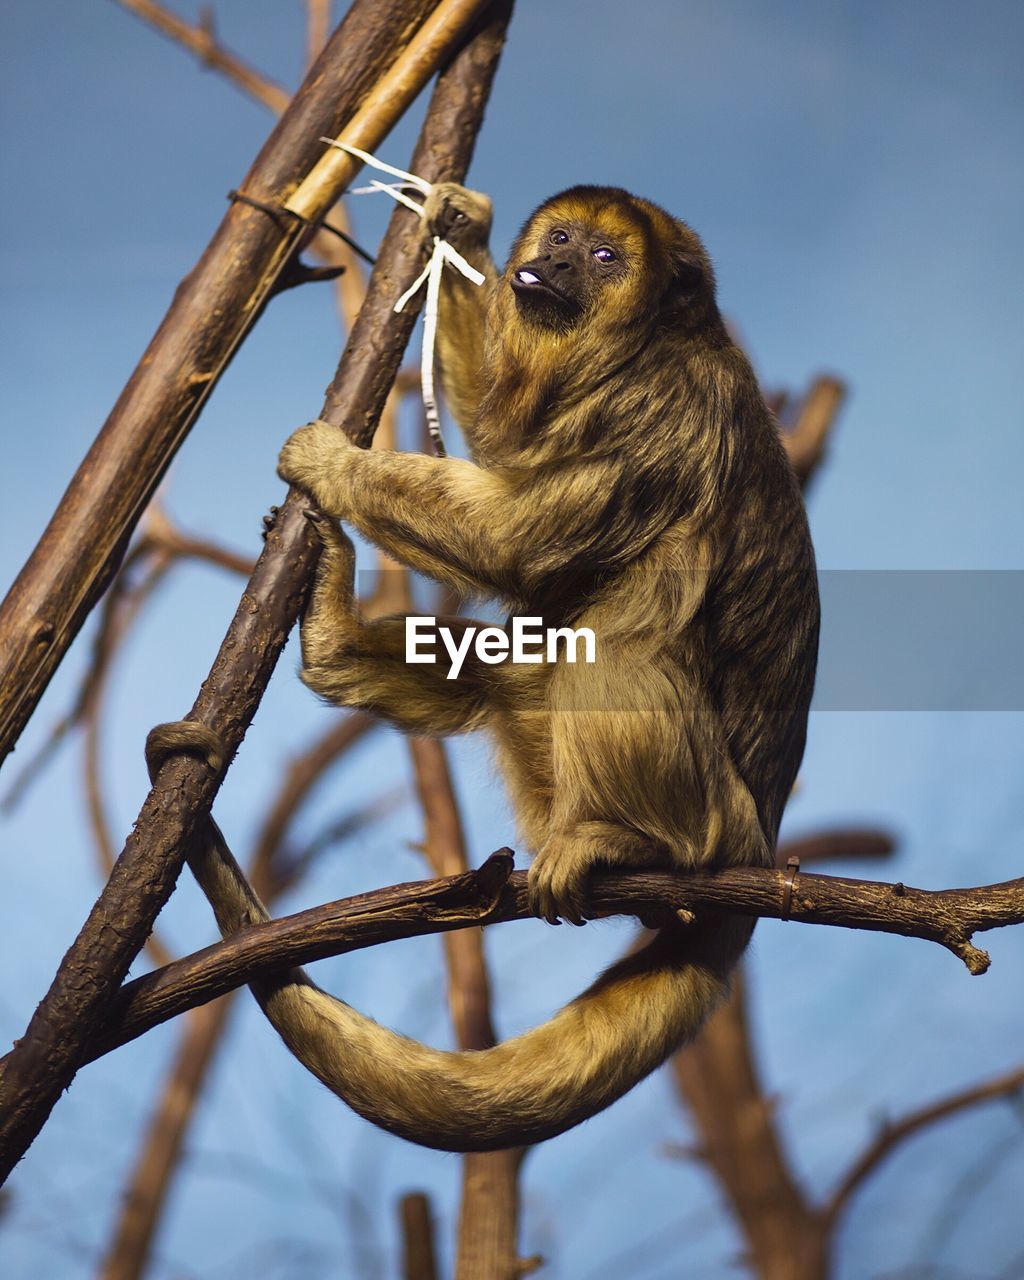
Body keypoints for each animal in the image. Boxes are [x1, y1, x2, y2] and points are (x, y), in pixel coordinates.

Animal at [145, 177, 814, 1152]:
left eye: (606, 258)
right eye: (561, 238)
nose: (557, 267)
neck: (641, 350)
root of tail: (764, 839)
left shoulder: (657, 411)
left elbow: (515, 537)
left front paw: (334, 459)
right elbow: (499, 436)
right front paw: (461, 229)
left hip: (721, 819)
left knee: (610, 650)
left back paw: (640, 841)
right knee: (521, 664)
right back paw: (334, 644)